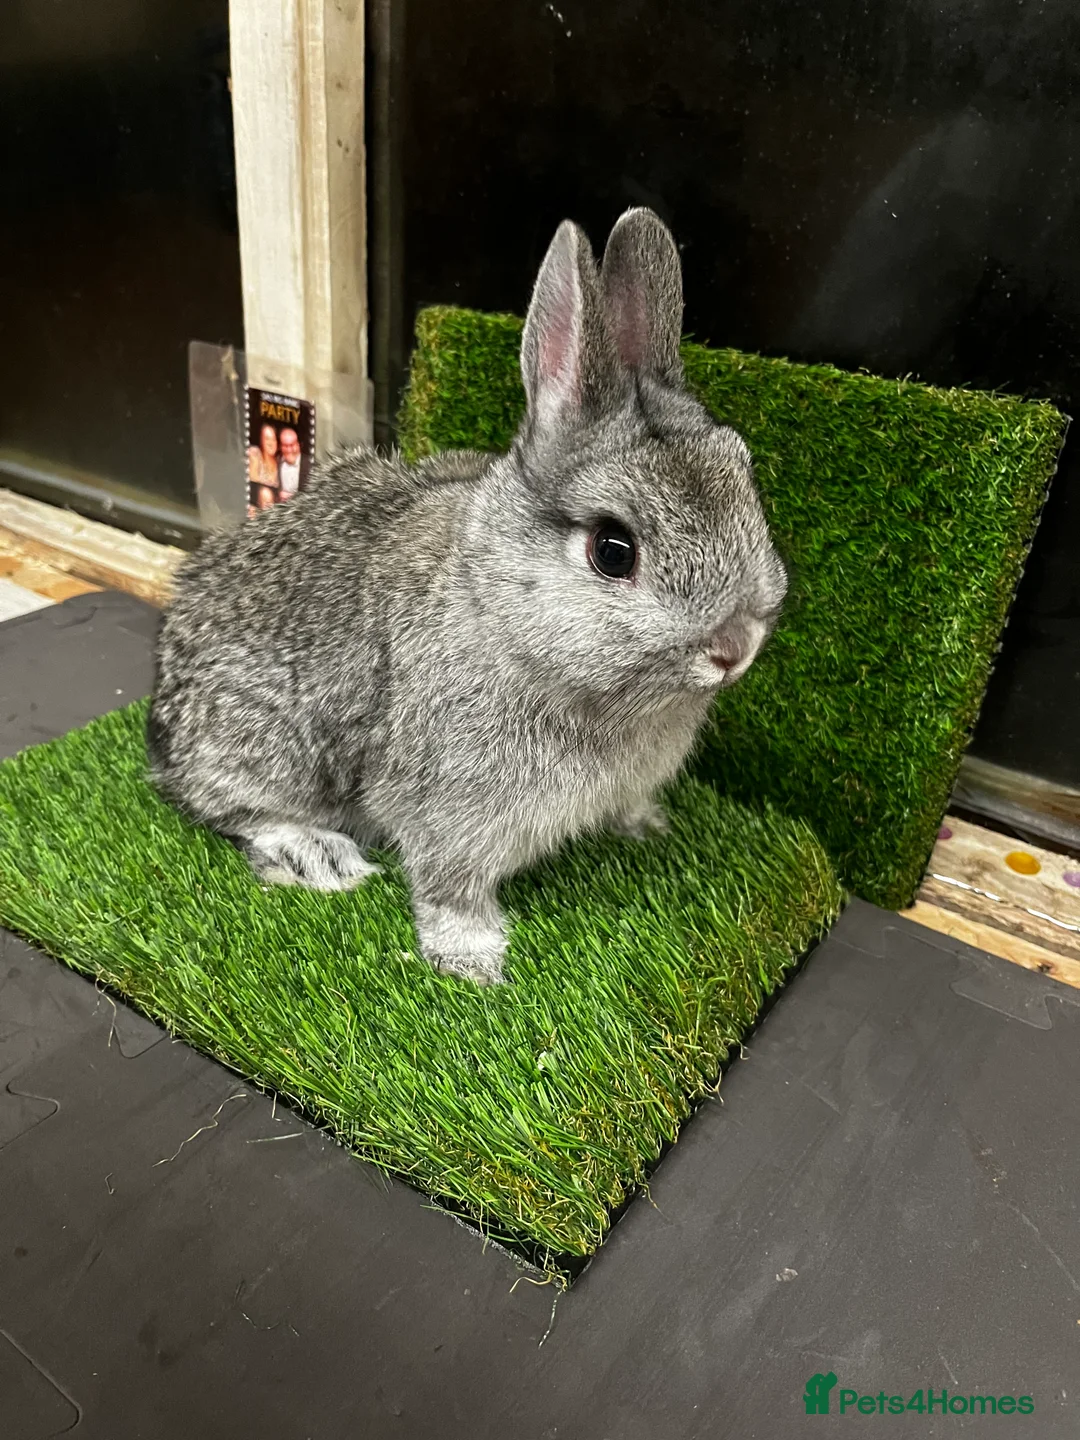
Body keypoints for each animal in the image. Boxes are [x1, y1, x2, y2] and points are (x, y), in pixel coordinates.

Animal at [147, 208, 788, 985]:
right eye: (613, 551)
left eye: (743, 477)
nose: (735, 647)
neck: (503, 614)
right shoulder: (448, 809)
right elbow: (449, 884)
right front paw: (474, 962)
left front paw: (647, 828)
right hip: (266, 748)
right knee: (223, 804)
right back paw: (317, 854)